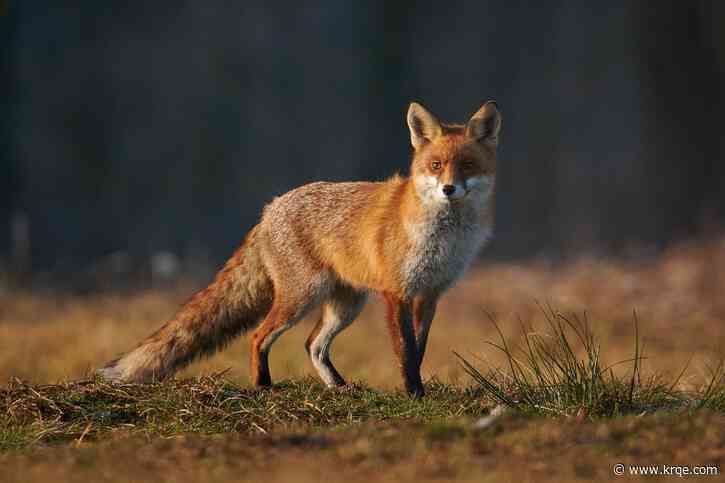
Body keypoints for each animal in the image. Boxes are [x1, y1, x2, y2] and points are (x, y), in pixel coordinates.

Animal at [99, 100, 502, 397]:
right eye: (436, 165)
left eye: (467, 165)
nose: (449, 189)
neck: (444, 240)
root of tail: (270, 208)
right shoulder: (397, 292)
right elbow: (404, 349)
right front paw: (413, 393)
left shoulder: (430, 294)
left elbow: (419, 348)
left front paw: (416, 388)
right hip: (302, 297)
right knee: (259, 337)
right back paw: (263, 386)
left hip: (345, 305)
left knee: (312, 345)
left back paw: (339, 387)